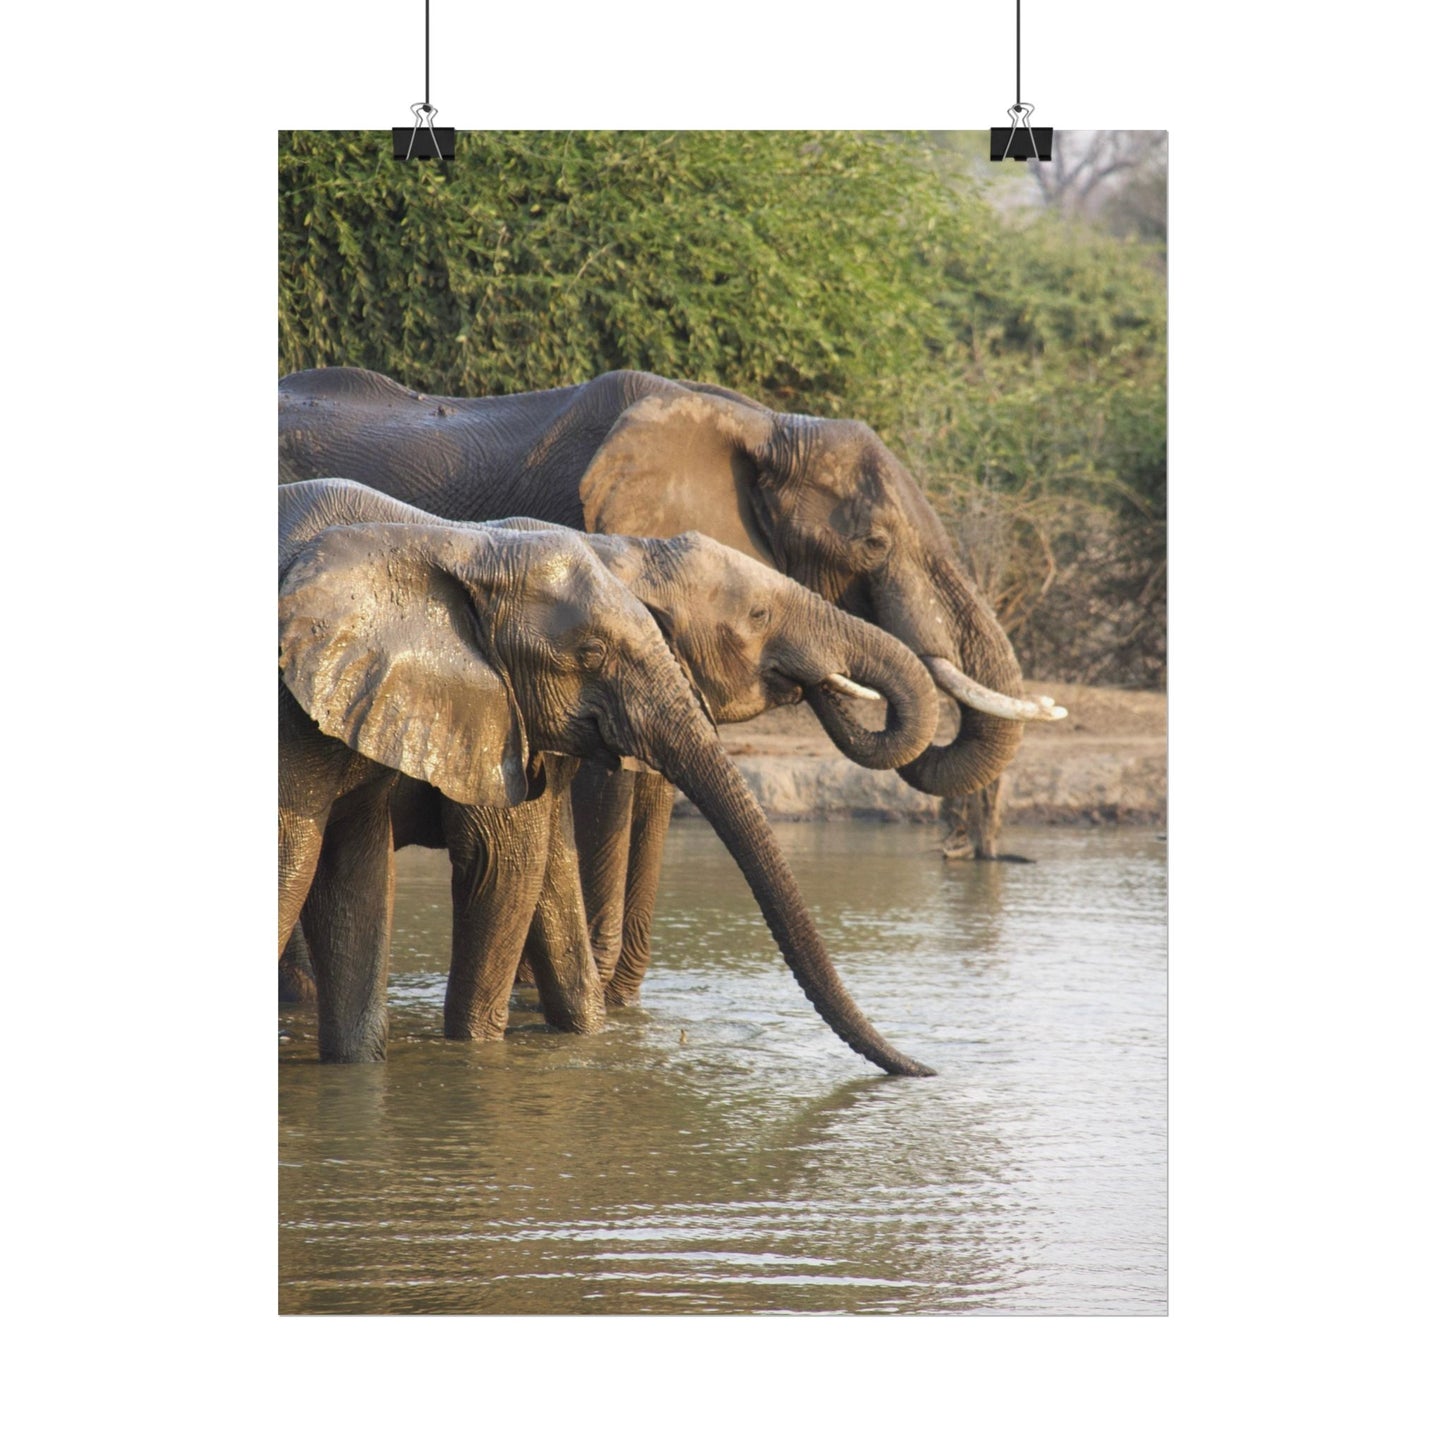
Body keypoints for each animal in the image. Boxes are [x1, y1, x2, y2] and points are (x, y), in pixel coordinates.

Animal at [279, 478, 934, 1076]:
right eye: (758, 614)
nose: (928, 1069)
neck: (462, 545)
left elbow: (545, 869)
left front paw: (591, 1043)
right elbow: (503, 862)